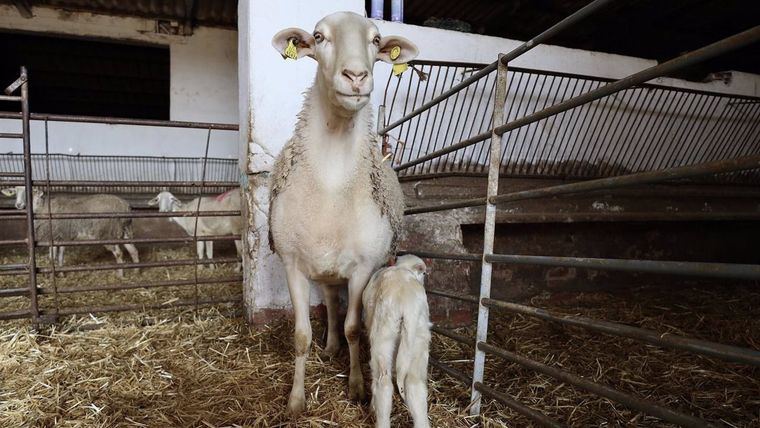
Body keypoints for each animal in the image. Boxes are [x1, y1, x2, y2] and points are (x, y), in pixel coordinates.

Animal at [1, 186, 140, 278]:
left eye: (30, 192)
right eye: (15, 192)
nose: (18, 204)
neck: (42, 207)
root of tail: (124, 206)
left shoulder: (52, 236)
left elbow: (52, 257)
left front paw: (52, 275)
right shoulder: (61, 237)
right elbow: (61, 256)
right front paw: (62, 273)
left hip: (107, 233)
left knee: (119, 253)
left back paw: (120, 275)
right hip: (125, 231)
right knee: (133, 250)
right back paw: (136, 270)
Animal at [268, 10, 416, 414]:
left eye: (376, 40)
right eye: (319, 37)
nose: (356, 76)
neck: (332, 182)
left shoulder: (363, 267)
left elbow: (353, 328)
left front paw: (357, 387)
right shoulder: (292, 264)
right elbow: (301, 335)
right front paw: (296, 400)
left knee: (339, 310)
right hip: (323, 271)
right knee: (332, 306)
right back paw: (330, 345)